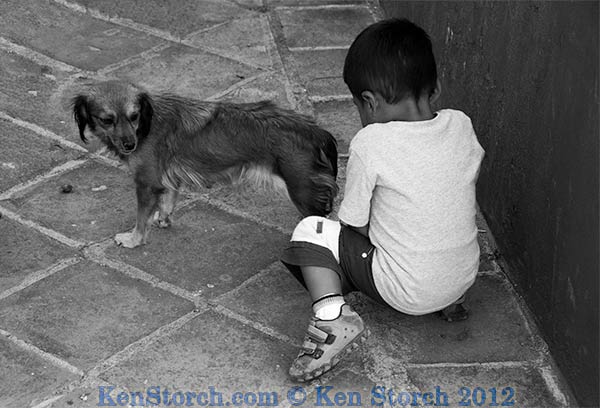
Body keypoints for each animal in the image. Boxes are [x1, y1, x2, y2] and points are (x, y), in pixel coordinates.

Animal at [71, 79, 338, 247]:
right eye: (107, 120)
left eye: (133, 116)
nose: (130, 145)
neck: (147, 123)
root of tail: (315, 131)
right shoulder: (165, 179)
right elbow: (167, 202)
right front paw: (163, 220)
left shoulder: (146, 183)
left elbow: (141, 217)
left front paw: (133, 240)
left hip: (302, 191)